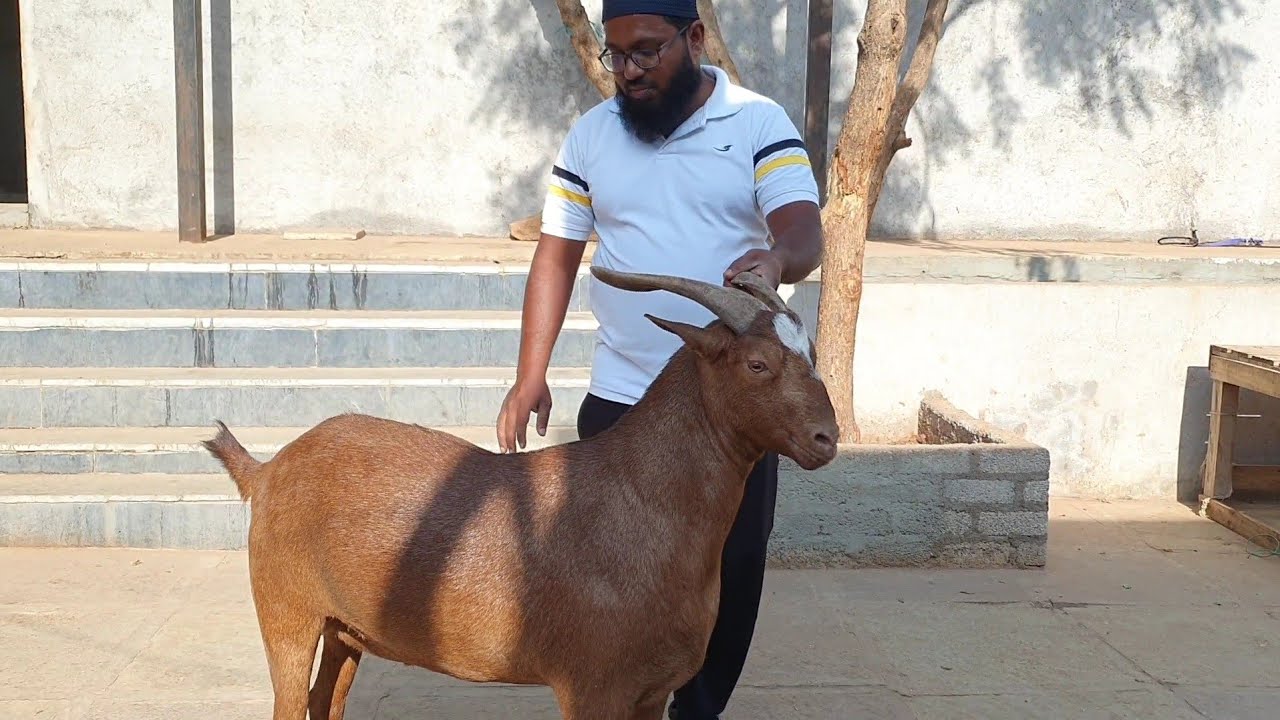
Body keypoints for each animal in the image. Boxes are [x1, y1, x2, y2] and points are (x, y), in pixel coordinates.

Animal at [202, 266, 840, 720]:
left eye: (810, 355)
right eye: (756, 363)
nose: (826, 438)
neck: (639, 499)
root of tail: (266, 471)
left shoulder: (650, 692)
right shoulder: (593, 688)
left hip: (347, 629)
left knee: (325, 702)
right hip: (287, 612)